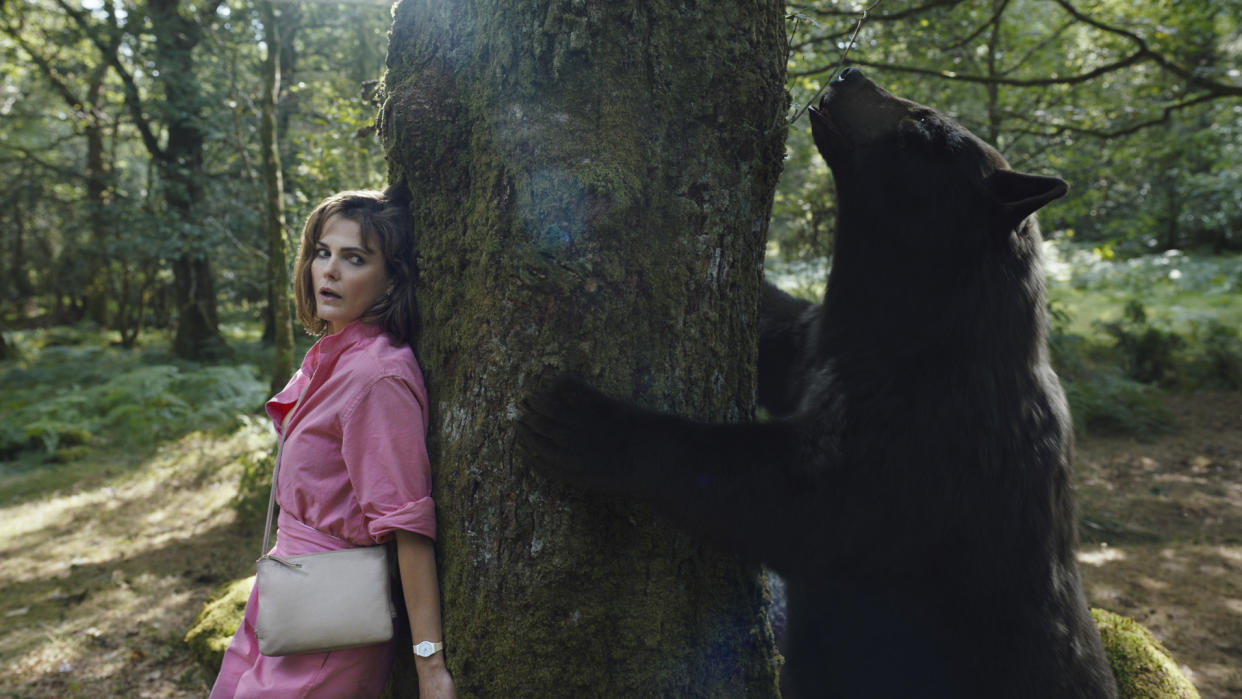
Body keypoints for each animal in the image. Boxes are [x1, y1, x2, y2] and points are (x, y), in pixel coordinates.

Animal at [519, 67, 1122, 699]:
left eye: (925, 127)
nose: (851, 72)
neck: (914, 332)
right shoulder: (820, 347)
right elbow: (779, 335)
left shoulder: (926, 445)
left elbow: (789, 500)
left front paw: (586, 424)